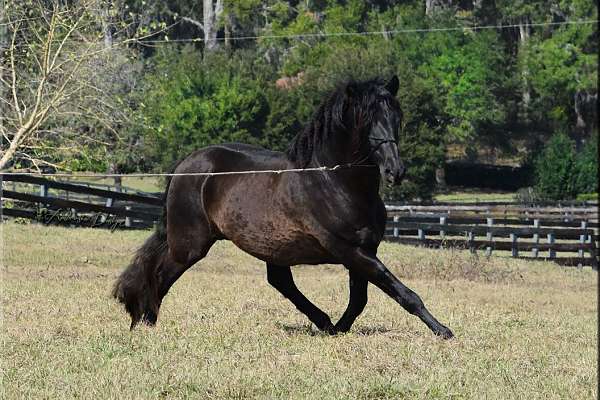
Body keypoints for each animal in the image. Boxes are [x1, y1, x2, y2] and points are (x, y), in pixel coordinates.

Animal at [112, 76, 452, 338]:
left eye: (396, 117)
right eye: (366, 120)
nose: (396, 170)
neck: (333, 181)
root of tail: (186, 166)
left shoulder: (364, 249)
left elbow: (359, 300)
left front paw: (338, 329)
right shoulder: (350, 250)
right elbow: (401, 292)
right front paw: (443, 330)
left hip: (269, 246)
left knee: (280, 282)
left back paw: (323, 322)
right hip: (191, 244)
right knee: (160, 275)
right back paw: (146, 323)